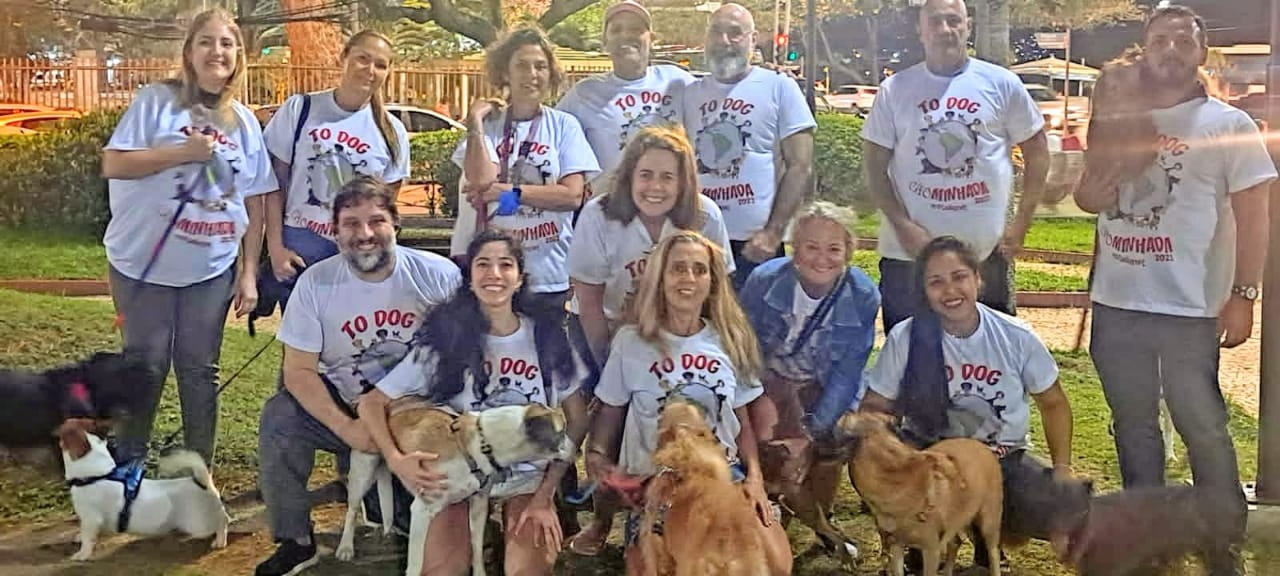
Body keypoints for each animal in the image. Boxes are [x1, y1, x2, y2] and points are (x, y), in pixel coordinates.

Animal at [57, 418, 229, 561]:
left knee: (222, 521)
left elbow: (87, 539)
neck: (97, 474)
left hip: (198, 524)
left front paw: (81, 554)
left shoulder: (91, 518)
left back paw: (220, 540)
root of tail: (203, 483)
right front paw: (79, 536)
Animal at [385, 398, 573, 576]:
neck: (483, 445)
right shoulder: (422, 510)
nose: (576, 448)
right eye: (563, 431)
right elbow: (415, 565)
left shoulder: (479, 503)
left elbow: (476, 548)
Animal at [834, 411, 1004, 576]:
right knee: (955, 543)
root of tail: (981, 445)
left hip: (989, 522)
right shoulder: (896, 546)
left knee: (992, 553)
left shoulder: (931, 550)